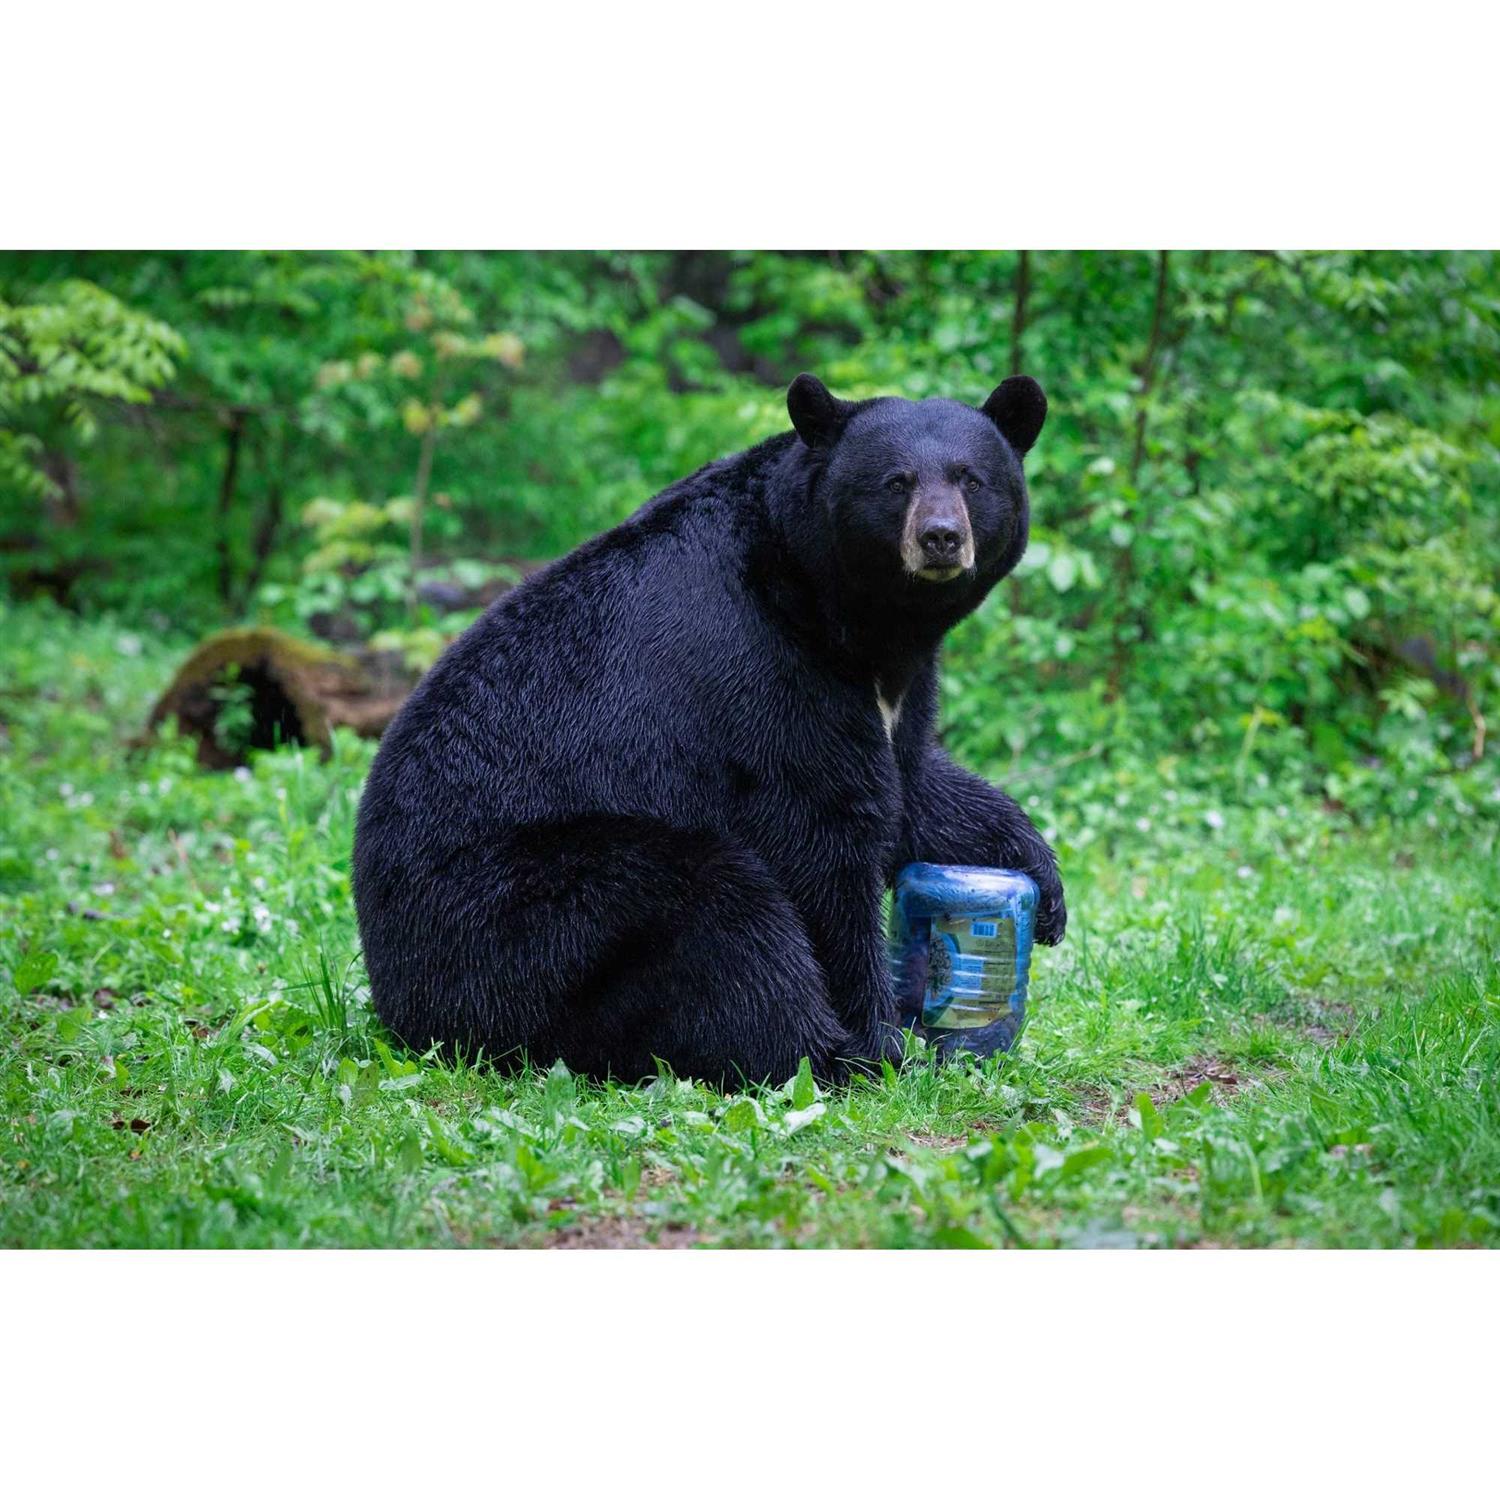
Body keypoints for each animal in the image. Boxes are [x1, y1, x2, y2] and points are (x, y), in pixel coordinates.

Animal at [352, 373, 1066, 1086]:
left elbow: (913, 782)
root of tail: (400, 999)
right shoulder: (767, 669)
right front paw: (879, 1040)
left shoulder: (897, 685)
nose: (941, 537)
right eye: (895, 482)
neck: (848, 615)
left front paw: (1041, 883)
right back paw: (822, 1052)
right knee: (717, 910)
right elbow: (823, 834)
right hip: (521, 914)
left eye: (971, 479)